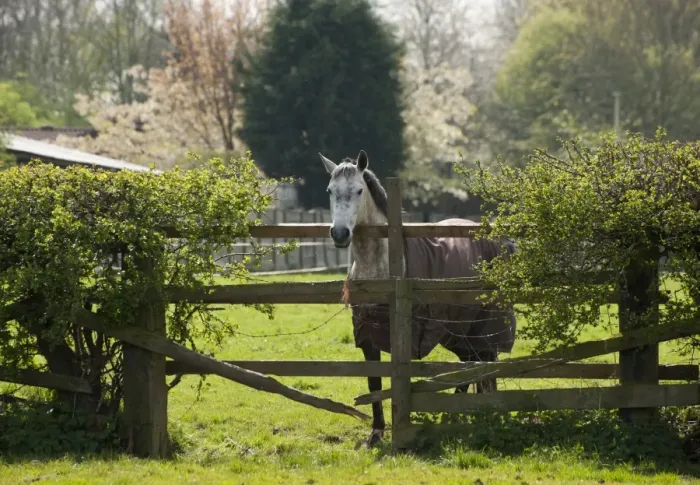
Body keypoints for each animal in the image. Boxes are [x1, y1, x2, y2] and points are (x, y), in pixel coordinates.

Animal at [319, 149, 517, 447]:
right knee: (470, 365)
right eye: (330, 190)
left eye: (358, 190)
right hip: (459, 331)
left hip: (472, 328)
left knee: (474, 366)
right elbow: (374, 383)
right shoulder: (368, 337)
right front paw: (375, 433)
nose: (340, 234)